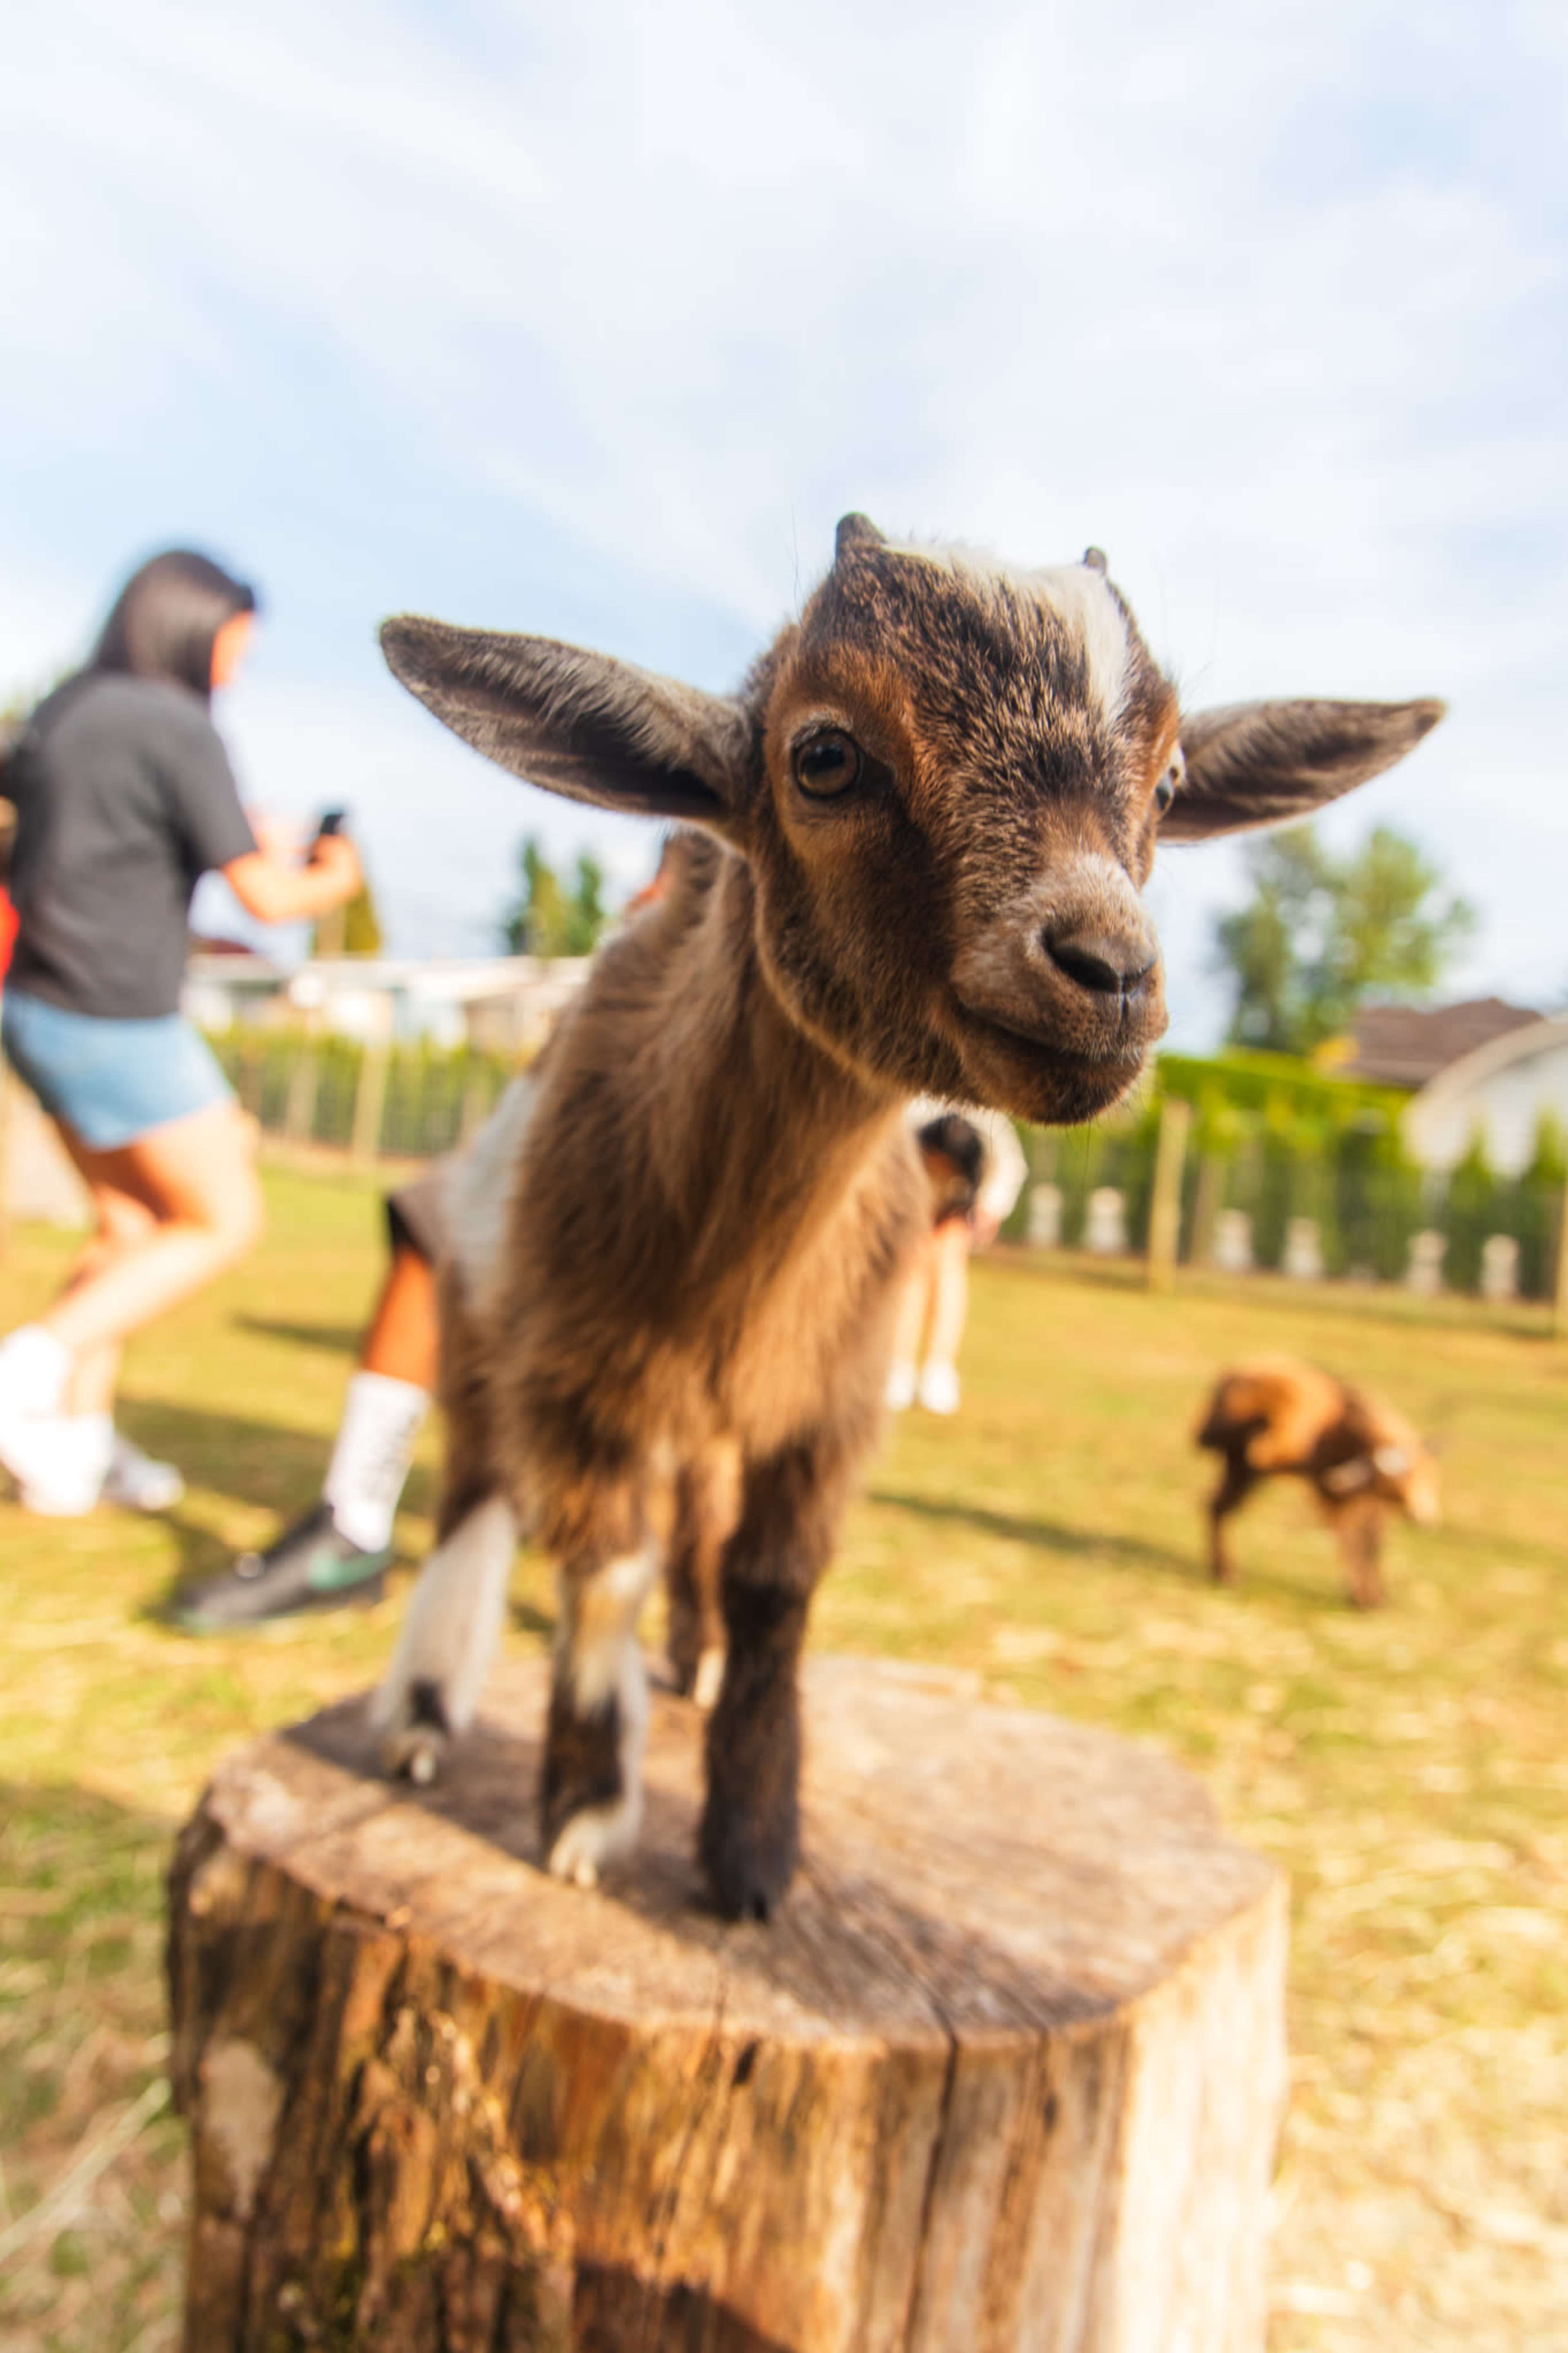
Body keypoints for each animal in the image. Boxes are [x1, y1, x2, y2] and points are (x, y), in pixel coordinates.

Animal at [1196, 1355, 1441, 1606]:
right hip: (1252, 1458)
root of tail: (1227, 1381)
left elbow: (1370, 1541)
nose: (1422, 1516)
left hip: (1241, 1467)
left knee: (1219, 1505)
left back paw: (1224, 1572)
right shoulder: (1336, 1495)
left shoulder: (1365, 1499)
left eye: (1421, 1473)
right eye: (1398, 1483)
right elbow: (1353, 1539)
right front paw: (1365, 1598)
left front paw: (1374, 1595)